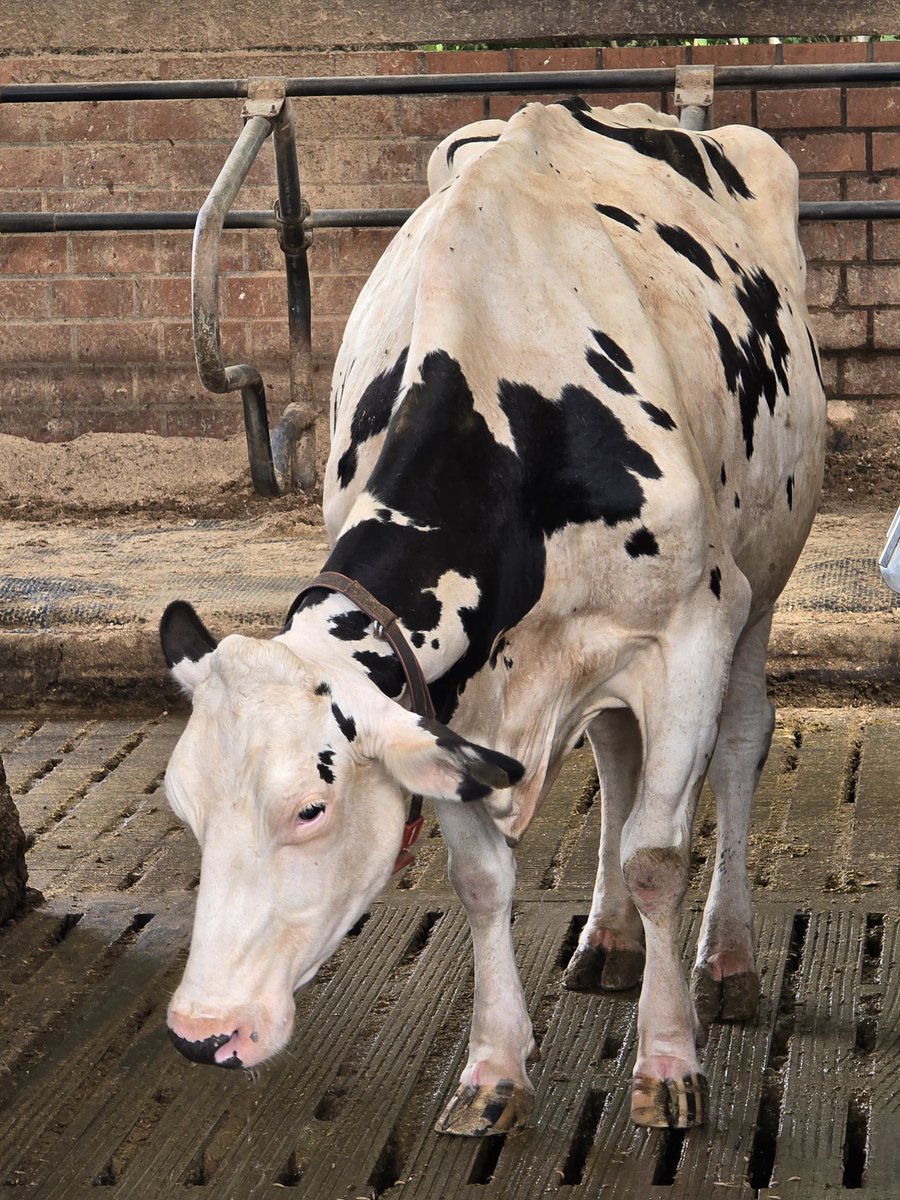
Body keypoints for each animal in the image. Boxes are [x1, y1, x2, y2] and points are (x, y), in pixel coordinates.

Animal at [160, 99, 825, 1136]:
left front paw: (669, 1063)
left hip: (765, 574)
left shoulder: (691, 630)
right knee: (617, 754)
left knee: (742, 742)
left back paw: (728, 956)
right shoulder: (443, 688)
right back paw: (607, 939)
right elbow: (480, 879)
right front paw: (494, 1067)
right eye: (183, 809)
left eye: (310, 808)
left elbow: (659, 854)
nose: (200, 1033)